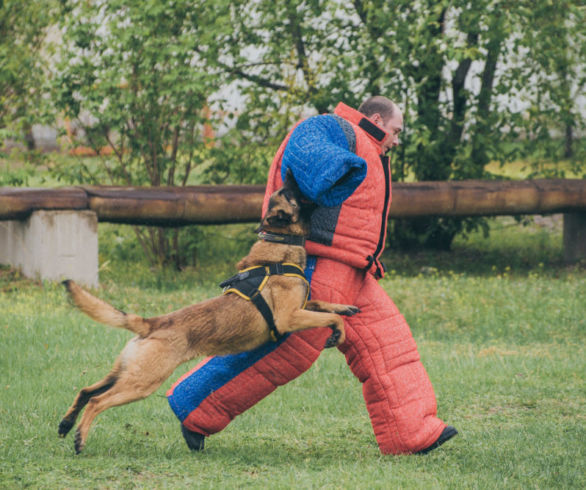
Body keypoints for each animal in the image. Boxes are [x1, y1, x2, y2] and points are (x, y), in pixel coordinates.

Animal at [60, 173, 360, 456]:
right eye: (289, 192)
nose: (290, 174)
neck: (278, 248)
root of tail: (153, 323)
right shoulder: (289, 318)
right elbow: (331, 319)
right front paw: (338, 332)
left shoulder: (301, 307)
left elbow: (322, 303)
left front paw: (345, 308)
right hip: (142, 382)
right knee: (97, 401)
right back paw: (80, 438)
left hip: (125, 372)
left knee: (86, 391)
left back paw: (66, 424)